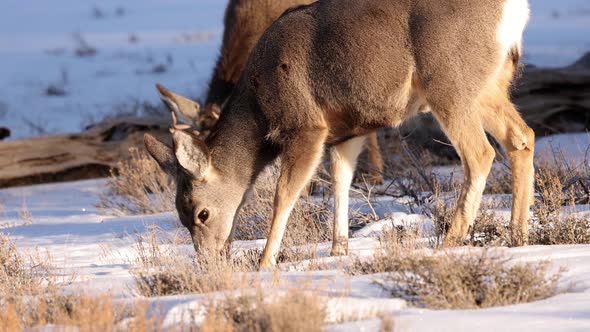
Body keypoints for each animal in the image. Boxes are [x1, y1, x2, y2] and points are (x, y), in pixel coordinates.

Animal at [147, 0, 536, 268]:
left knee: (481, 153)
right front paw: (338, 249)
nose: (208, 261)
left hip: (448, 80)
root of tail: (513, 10)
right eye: (180, 215)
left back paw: (451, 240)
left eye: (201, 213)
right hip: (488, 83)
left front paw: (265, 262)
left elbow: (284, 195)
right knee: (522, 136)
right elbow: (341, 181)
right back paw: (518, 236)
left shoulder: (307, 125)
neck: (258, 106)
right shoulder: (347, 130)